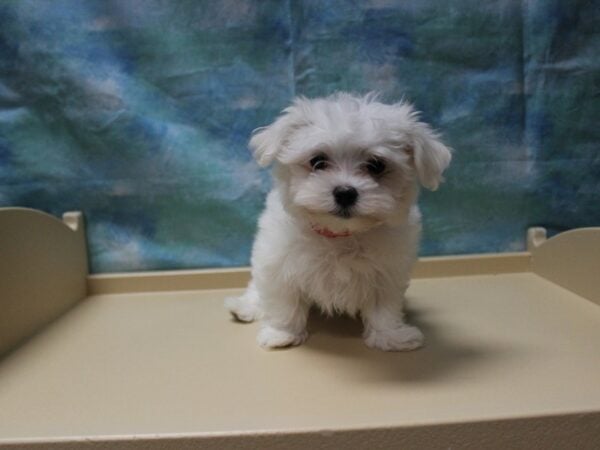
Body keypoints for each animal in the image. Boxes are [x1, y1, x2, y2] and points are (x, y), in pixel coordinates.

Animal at [225, 92, 450, 352]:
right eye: (318, 161)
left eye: (376, 165)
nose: (345, 193)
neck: (340, 234)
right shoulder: (278, 263)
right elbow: (283, 300)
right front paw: (282, 334)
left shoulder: (388, 271)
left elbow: (384, 306)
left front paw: (391, 336)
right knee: (257, 288)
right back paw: (244, 307)